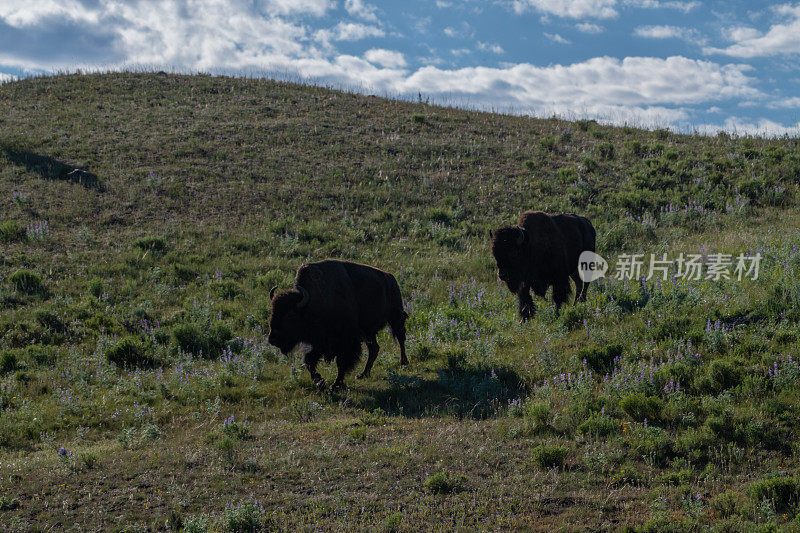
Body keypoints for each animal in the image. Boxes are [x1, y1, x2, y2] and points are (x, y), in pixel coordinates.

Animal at [268, 258, 410, 388]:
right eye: (272, 312)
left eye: (290, 315)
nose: (272, 339)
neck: (312, 303)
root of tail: (390, 277)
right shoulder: (320, 342)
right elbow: (309, 360)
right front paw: (320, 381)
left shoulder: (346, 340)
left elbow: (341, 362)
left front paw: (335, 385)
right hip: (369, 332)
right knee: (374, 348)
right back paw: (363, 374)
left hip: (395, 317)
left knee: (400, 338)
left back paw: (403, 363)